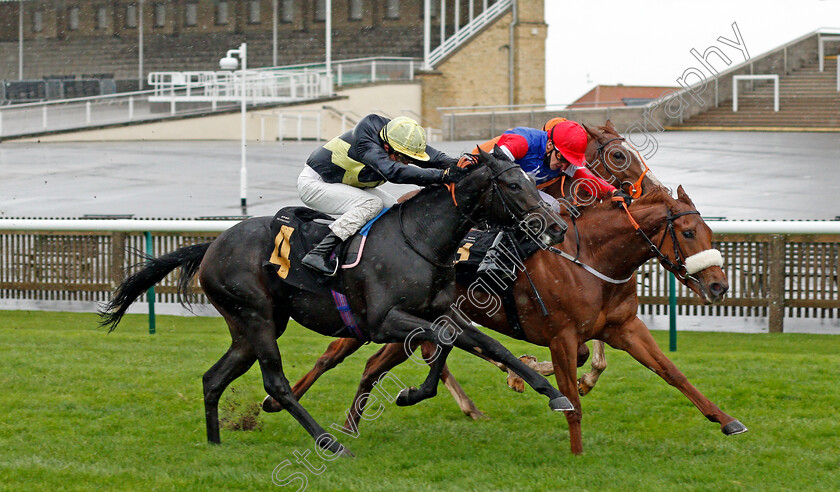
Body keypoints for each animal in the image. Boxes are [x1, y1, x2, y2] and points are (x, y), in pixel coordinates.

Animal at [101, 148, 568, 456]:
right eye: (514, 184)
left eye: (532, 181)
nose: (556, 226)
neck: (420, 239)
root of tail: (213, 244)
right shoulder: (384, 321)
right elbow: (445, 343)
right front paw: (411, 394)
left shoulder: (441, 311)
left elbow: (486, 345)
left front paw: (551, 393)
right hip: (257, 317)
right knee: (275, 383)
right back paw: (329, 442)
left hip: (248, 327)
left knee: (213, 378)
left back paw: (215, 443)